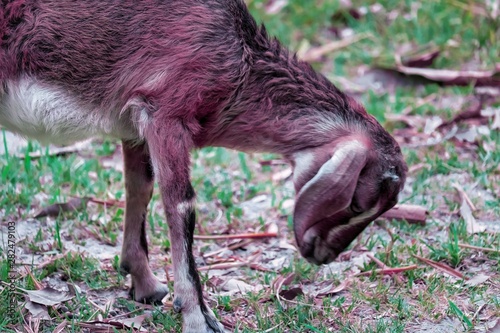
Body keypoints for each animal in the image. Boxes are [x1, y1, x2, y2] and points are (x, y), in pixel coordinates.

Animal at [0, 1, 406, 330]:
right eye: (356, 203)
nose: (323, 254)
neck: (239, 60)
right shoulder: (166, 112)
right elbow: (181, 206)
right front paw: (199, 317)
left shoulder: (134, 123)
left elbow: (140, 187)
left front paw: (145, 284)